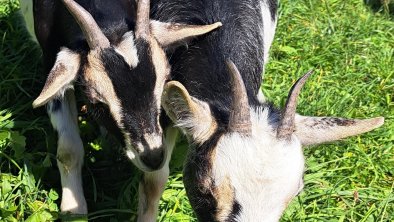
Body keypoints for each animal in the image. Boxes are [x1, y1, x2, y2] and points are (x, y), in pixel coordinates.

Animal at [31, 0, 220, 219]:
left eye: (166, 80)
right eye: (97, 102)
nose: (153, 158)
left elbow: (154, 181)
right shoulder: (50, 61)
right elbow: (69, 151)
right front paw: (73, 211)